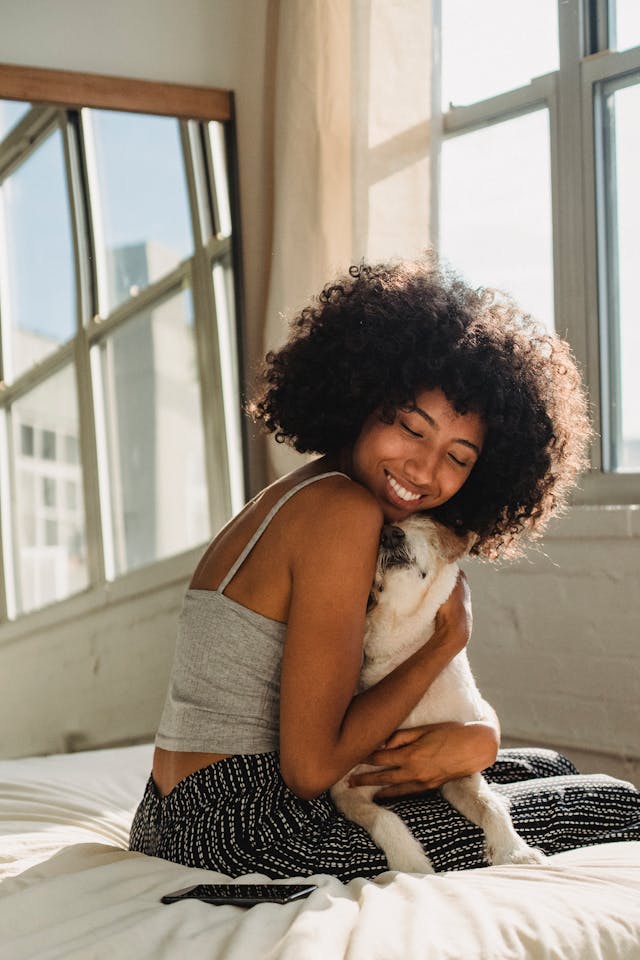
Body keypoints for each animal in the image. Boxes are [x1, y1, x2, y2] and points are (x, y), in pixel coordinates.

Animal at [330, 516, 544, 876]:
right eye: (384, 526)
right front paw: (411, 864)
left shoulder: (459, 771)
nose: (390, 534)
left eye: (426, 527)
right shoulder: (347, 788)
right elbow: (386, 818)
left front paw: (514, 851)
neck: (407, 650)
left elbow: (490, 805)